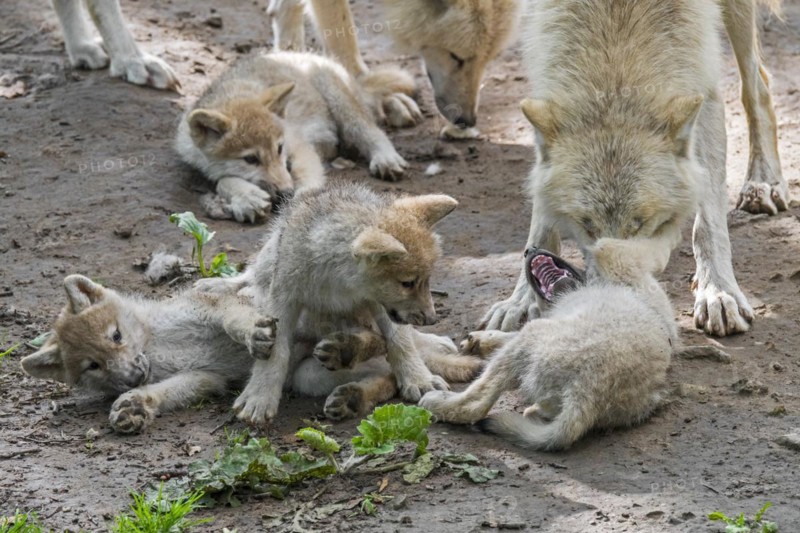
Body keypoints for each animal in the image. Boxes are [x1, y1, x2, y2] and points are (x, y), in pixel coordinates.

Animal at [174, 50, 411, 223]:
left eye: (279, 148)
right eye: (250, 159)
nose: (286, 193)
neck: (236, 92)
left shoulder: (300, 147)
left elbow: (305, 181)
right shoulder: (203, 165)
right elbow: (224, 179)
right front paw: (248, 198)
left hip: (340, 102)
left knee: (371, 130)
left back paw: (386, 159)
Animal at [201, 183, 462, 425]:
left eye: (427, 280)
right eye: (407, 283)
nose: (432, 319)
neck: (338, 280)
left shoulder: (380, 304)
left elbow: (401, 341)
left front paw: (419, 379)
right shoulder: (284, 297)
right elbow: (277, 352)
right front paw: (260, 397)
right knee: (253, 274)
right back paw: (217, 285)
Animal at [420, 239, 678, 451]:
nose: (529, 249)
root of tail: (587, 393)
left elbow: (610, 246)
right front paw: (482, 340)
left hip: (531, 337)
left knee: (475, 403)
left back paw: (436, 402)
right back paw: (534, 413)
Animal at [482, 0, 787, 339]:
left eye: (640, 223)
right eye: (587, 225)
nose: (612, 302)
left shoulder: (703, 82)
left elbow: (709, 222)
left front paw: (718, 292)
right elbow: (541, 221)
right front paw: (522, 301)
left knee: (757, 84)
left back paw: (763, 182)